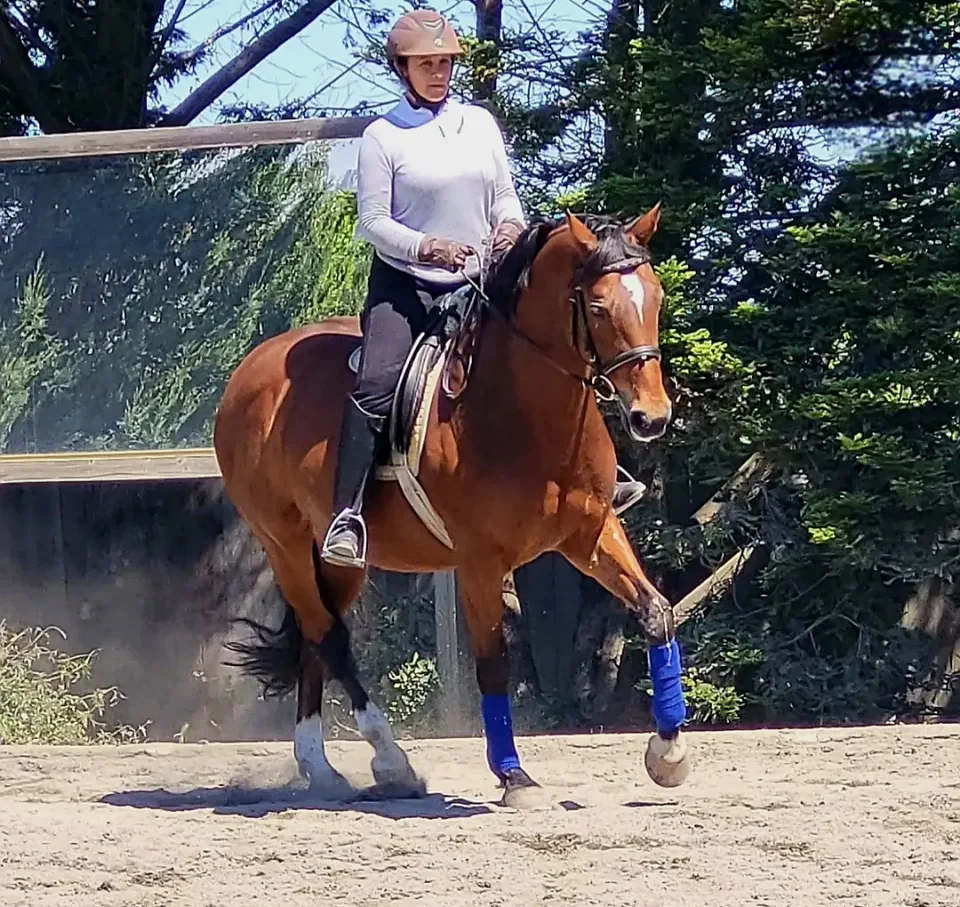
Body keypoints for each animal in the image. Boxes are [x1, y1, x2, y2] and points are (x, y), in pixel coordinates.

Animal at [213, 204, 692, 808]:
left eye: (656, 297)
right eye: (599, 306)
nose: (651, 417)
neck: (524, 413)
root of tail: (253, 368)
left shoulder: (591, 535)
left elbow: (656, 612)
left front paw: (668, 755)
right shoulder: (481, 562)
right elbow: (493, 665)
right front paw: (514, 777)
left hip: (339, 558)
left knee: (313, 642)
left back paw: (320, 768)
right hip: (286, 544)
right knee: (328, 637)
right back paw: (389, 761)